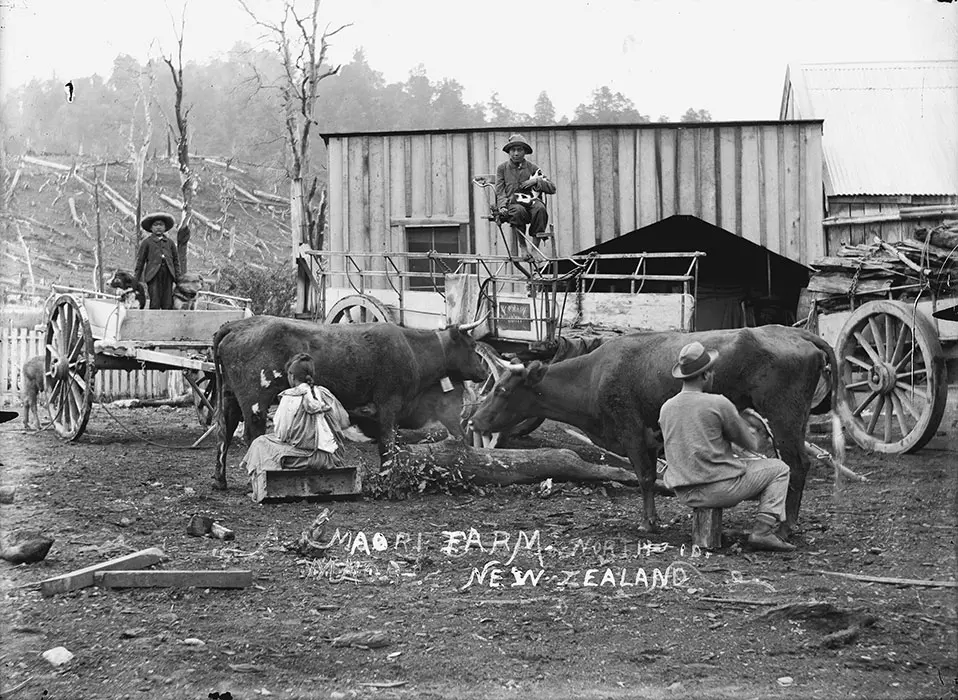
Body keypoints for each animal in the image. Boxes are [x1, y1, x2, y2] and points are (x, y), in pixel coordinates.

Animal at [215, 314, 492, 490]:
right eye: (471, 344)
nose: (483, 372)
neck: (412, 349)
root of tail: (235, 325)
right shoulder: (389, 406)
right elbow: (387, 445)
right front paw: (387, 476)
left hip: (229, 397)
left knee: (224, 432)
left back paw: (219, 480)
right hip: (255, 402)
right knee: (251, 434)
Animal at [472, 326, 840, 532]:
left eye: (501, 389)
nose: (474, 419)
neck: (594, 376)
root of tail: (796, 333)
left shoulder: (631, 432)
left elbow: (646, 477)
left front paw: (647, 523)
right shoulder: (648, 440)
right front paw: (654, 519)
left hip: (784, 417)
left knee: (798, 465)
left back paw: (788, 525)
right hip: (794, 420)